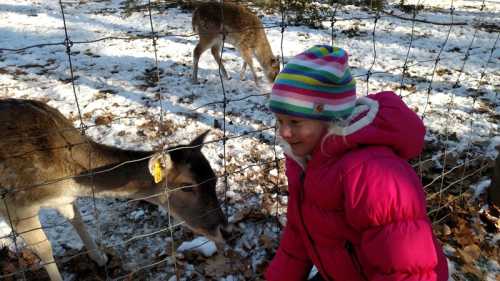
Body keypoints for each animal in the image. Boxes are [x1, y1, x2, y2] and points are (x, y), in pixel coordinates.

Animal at [0, 98, 227, 280]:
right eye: (187, 186)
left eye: (215, 178)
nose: (223, 228)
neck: (67, 181)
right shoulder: (17, 206)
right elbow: (45, 248)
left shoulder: (63, 199)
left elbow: (77, 219)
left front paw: (101, 258)